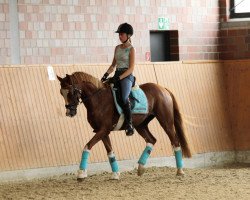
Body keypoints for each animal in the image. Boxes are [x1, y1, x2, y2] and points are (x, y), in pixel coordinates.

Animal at [58, 71, 191, 180]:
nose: (69, 112)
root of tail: (162, 88)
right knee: (151, 140)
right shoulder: (102, 131)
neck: (97, 99)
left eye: (71, 92)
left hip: (165, 121)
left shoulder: (103, 130)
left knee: (175, 141)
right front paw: (115, 174)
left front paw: (81, 173)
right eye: (61, 93)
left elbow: (87, 146)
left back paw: (180, 171)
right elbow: (110, 152)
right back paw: (140, 168)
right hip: (141, 125)